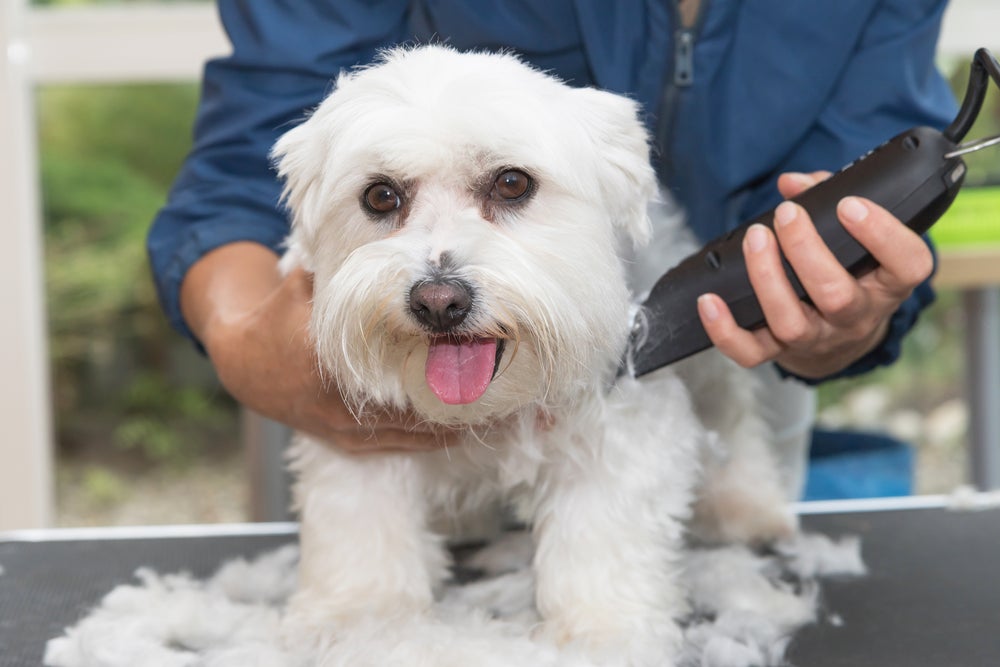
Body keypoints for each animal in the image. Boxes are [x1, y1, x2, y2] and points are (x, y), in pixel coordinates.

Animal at [272, 47, 796, 667]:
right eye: (380, 196)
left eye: (512, 183)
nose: (439, 301)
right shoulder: (355, 442)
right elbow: (360, 532)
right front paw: (360, 622)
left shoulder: (623, 429)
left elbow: (601, 539)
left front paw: (602, 634)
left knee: (732, 414)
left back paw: (749, 506)